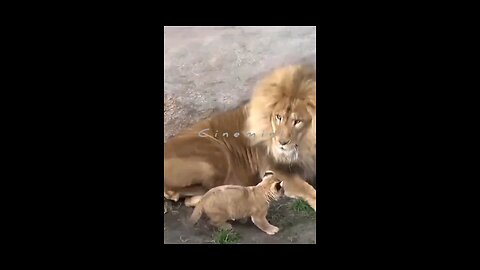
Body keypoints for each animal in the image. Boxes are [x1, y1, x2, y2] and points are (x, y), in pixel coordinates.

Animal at [163, 65, 316, 211]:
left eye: (297, 121)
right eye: (279, 117)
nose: (282, 143)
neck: (306, 142)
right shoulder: (274, 168)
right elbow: (306, 189)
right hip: (218, 152)